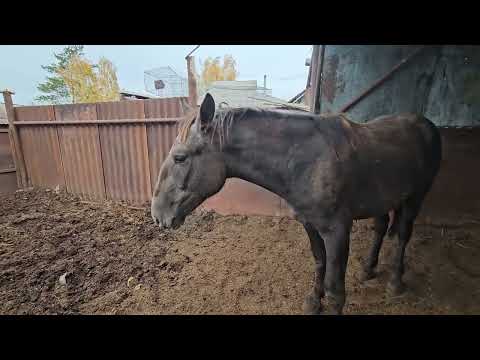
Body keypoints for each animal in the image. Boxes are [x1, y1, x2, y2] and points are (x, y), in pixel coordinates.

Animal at [151, 93, 442, 316]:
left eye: (180, 157)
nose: (157, 214)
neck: (309, 160)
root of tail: (426, 124)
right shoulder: (309, 224)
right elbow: (319, 261)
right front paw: (314, 301)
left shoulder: (337, 230)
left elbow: (335, 285)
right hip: (382, 200)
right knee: (381, 227)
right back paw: (368, 269)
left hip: (416, 198)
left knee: (402, 235)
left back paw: (395, 282)